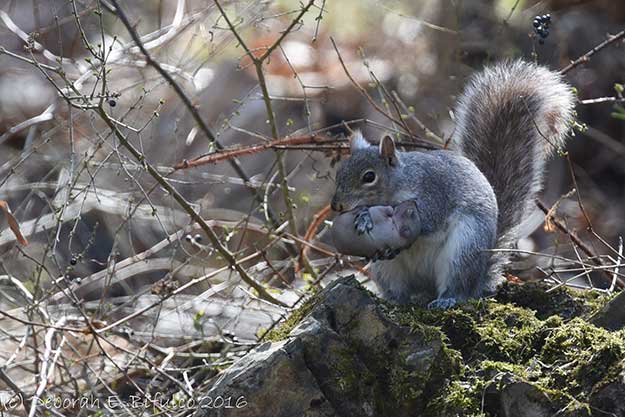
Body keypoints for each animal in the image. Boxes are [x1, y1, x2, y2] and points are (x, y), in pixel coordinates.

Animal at [330, 60, 572, 308]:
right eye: (339, 172)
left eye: (369, 177)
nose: (336, 206)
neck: (400, 181)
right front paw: (362, 215)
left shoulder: (434, 192)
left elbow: (427, 218)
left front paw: (369, 215)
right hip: (387, 270)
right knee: (400, 290)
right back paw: (396, 301)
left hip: (464, 248)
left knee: (459, 286)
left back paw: (447, 299)